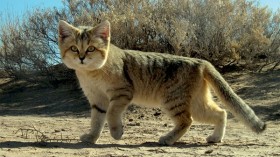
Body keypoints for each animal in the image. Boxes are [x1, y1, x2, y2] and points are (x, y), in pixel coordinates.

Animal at [57, 20, 264, 145]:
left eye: (91, 48)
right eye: (74, 48)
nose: (82, 58)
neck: (91, 73)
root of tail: (201, 61)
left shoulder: (121, 93)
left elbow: (111, 114)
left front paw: (116, 133)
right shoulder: (97, 100)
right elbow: (96, 121)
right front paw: (91, 138)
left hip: (173, 100)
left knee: (187, 120)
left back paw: (167, 139)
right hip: (197, 104)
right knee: (221, 113)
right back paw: (215, 138)